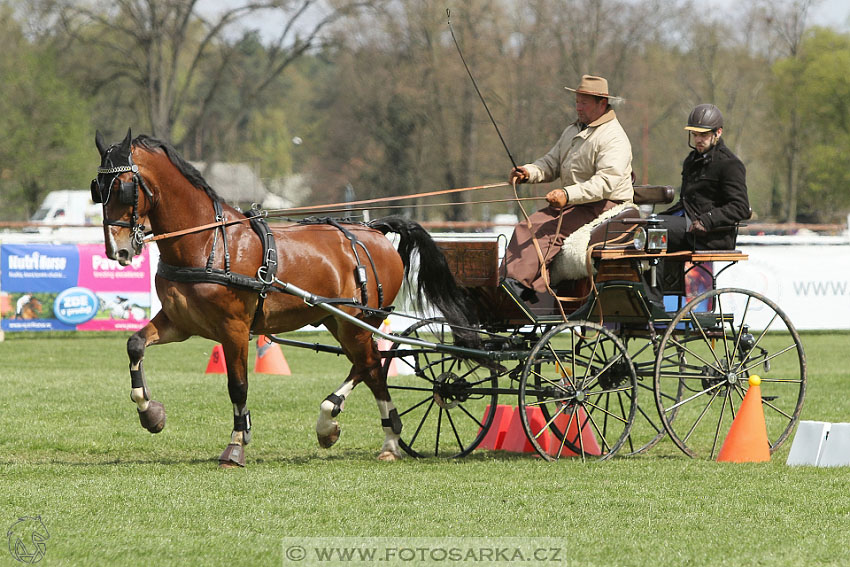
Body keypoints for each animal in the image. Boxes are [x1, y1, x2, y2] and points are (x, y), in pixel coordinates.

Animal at [94, 131, 476, 468]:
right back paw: (360, 431)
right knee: (369, 367)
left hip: (357, 321)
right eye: (98, 189)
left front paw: (236, 445)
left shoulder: (234, 329)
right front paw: (151, 413)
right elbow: (135, 345)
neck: (208, 242)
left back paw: (364, 431)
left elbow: (238, 386)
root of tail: (374, 231)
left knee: (369, 364)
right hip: (337, 320)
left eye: (124, 187)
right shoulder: (179, 323)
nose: (117, 251)